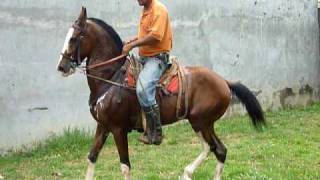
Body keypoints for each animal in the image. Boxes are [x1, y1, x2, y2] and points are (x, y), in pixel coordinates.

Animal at [57, 7, 264, 180]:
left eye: (74, 38)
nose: (61, 66)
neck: (111, 78)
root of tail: (224, 81)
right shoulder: (103, 126)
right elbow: (92, 157)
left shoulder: (118, 129)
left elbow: (125, 166)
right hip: (200, 123)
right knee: (216, 149)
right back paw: (188, 173)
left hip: (201, 121)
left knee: (215, 148)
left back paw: (187, 172)